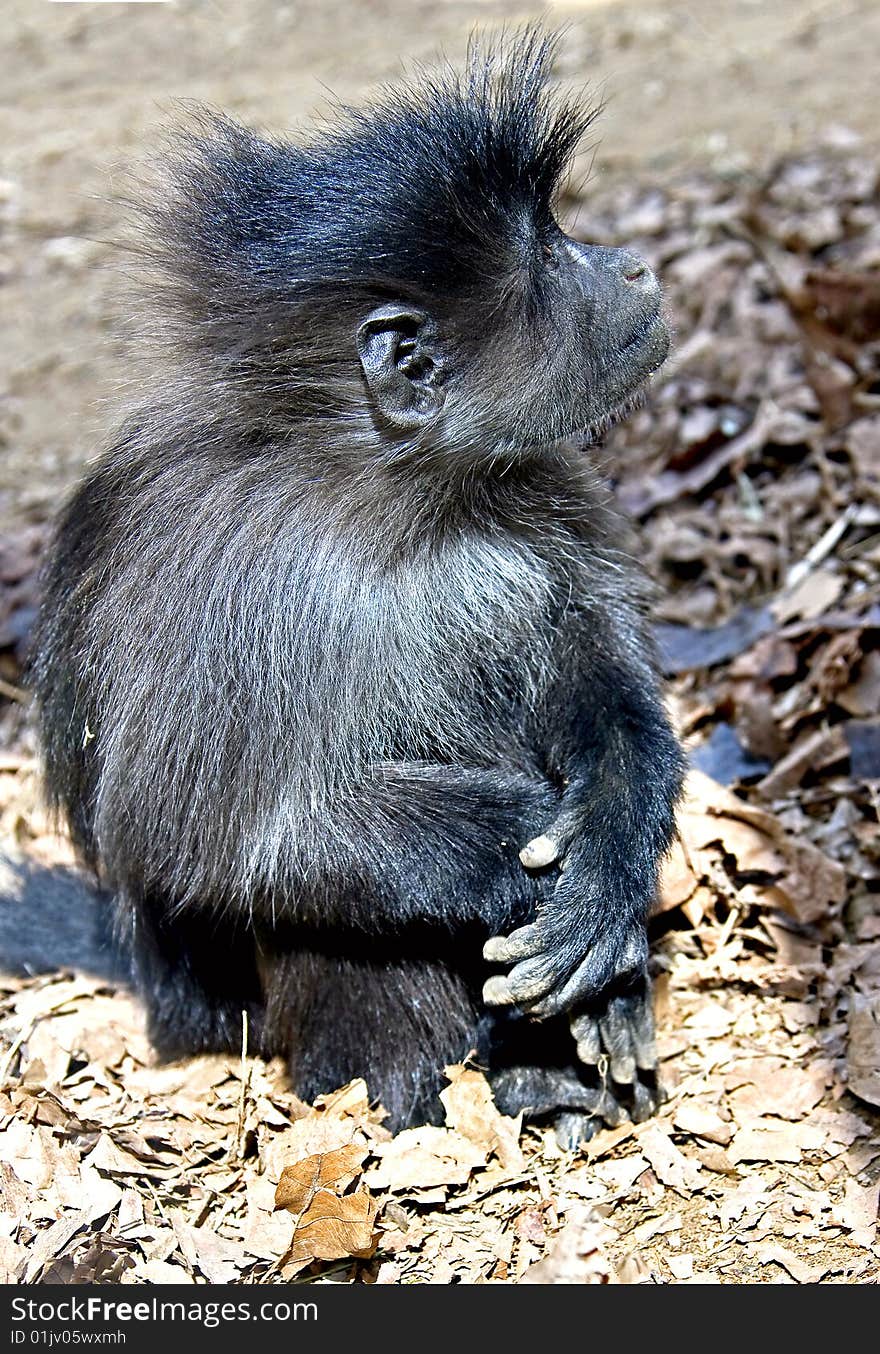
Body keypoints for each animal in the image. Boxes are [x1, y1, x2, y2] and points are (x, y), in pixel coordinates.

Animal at [20, 31, 685, 1142]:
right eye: (552, 258)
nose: (630, 266)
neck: (410, 500)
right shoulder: (240, 574)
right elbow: (199, 837)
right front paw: (521, 857)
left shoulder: (540, 486)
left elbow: (596, 670)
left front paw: (603, 866)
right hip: (230, 1004)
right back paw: (413, 1097)